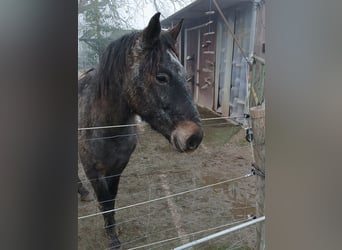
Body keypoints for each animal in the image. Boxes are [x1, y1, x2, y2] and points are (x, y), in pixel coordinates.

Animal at [77, 12, 203, 248]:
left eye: (184, 73)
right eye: (161, 77)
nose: (194, 137)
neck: (108, 128)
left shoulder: (118, 167)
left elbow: (112, 200)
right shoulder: (93, 171)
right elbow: (105, 202)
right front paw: (112, 238)